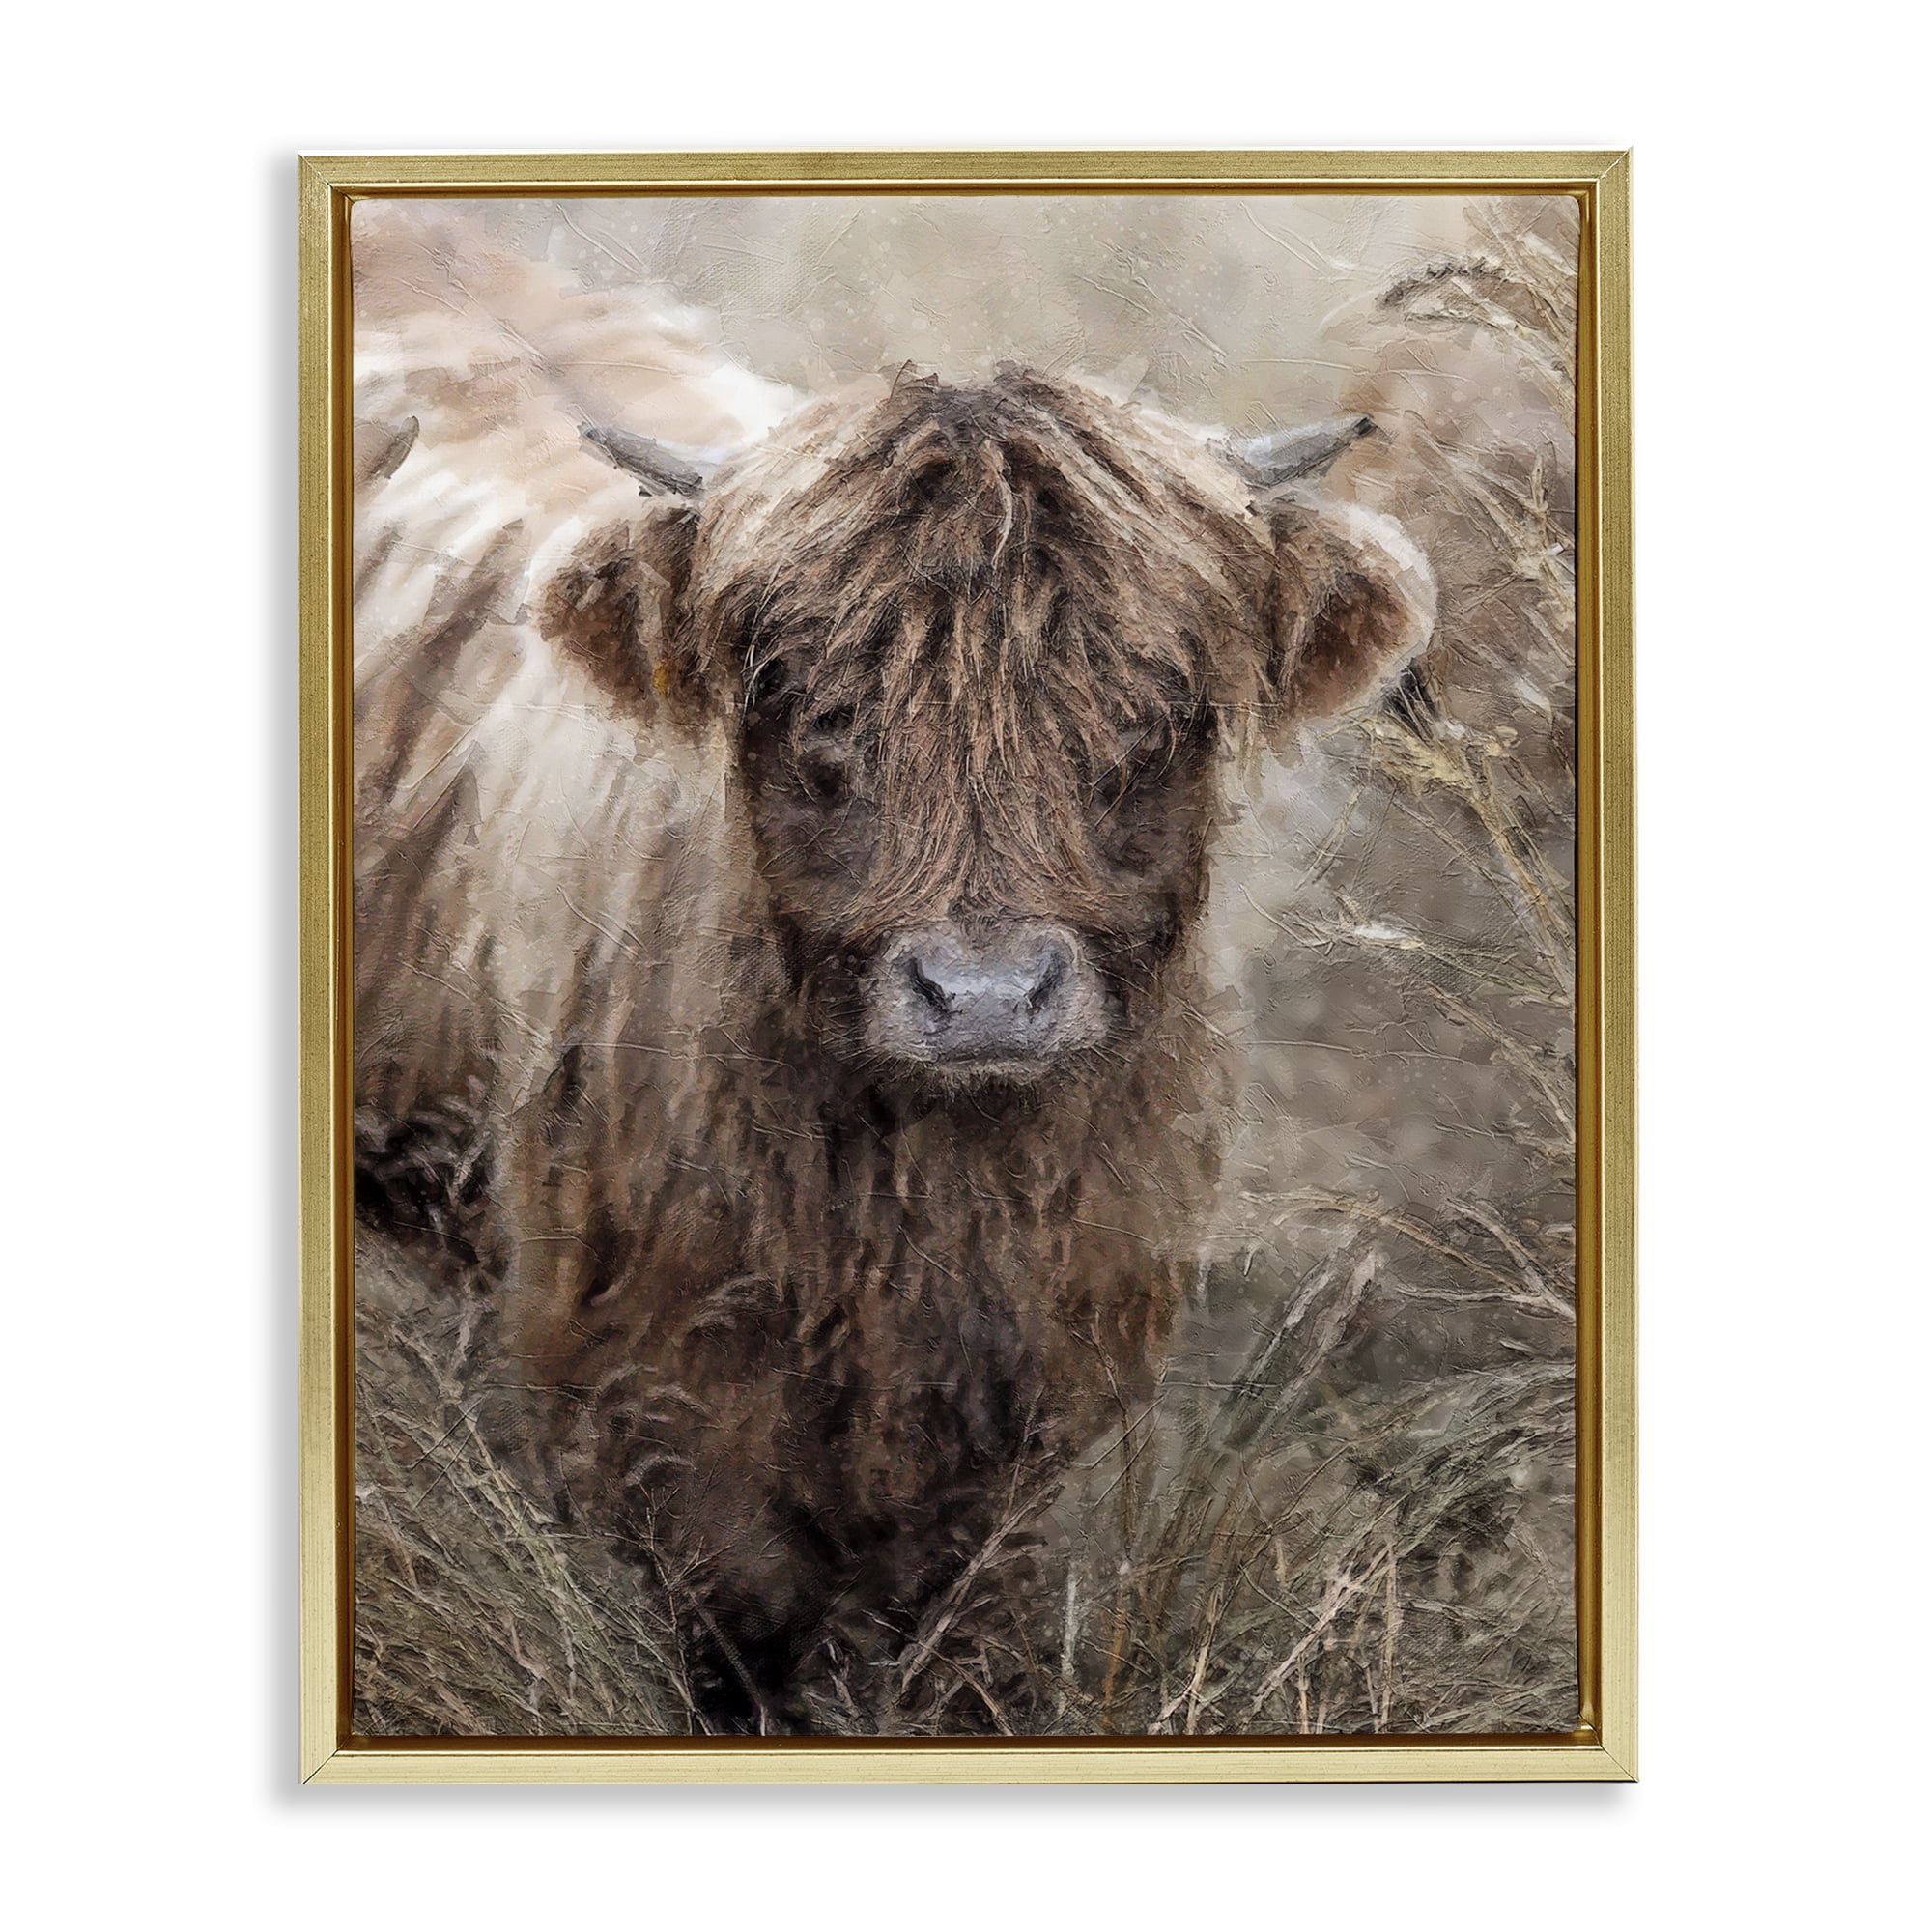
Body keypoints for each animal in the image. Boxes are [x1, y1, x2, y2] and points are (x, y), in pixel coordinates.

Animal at [352, 212, 1435, 1730]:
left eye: (1154, 717)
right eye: (812, 715)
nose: (983, 996)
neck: (924, 1198)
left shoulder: (1036, 1396)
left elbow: (960, 1627)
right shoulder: (638, 1378)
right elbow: (734, 1624)